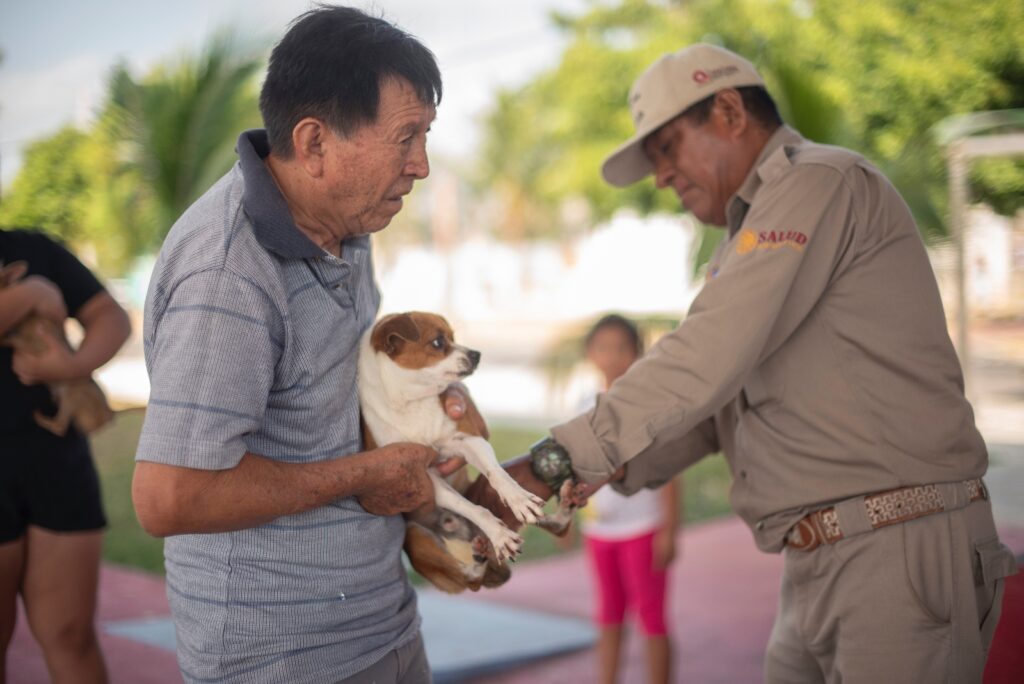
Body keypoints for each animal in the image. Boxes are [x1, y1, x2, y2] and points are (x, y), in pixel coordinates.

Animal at [358, 313, 577, 589]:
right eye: (439, 342)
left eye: (454, 337)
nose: (477, 354)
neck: (413, 403)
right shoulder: (425, 477)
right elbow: (470, 508)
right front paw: (498, 533)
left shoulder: (469, 440)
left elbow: (496, 474)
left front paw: (518, 499)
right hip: (416, 537)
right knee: (471, 578)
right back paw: (481, 553)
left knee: (554, 525)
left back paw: (564, 504)